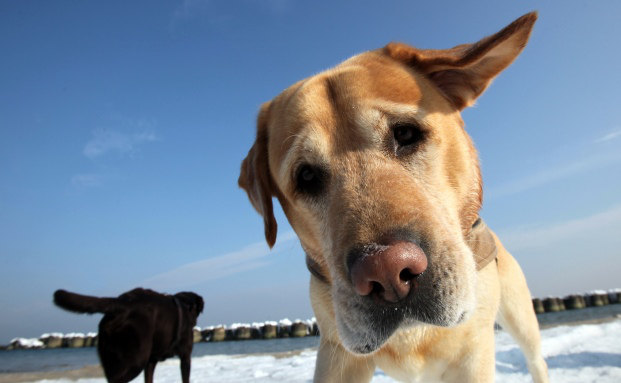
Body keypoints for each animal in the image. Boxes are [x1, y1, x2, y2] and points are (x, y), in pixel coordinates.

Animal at [53, 288, 203, 383]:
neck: (184, 305)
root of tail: (121, 303)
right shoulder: (185, 356)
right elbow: (185, 378)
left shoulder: (151, 361)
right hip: (136, 360)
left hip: (112, 354)